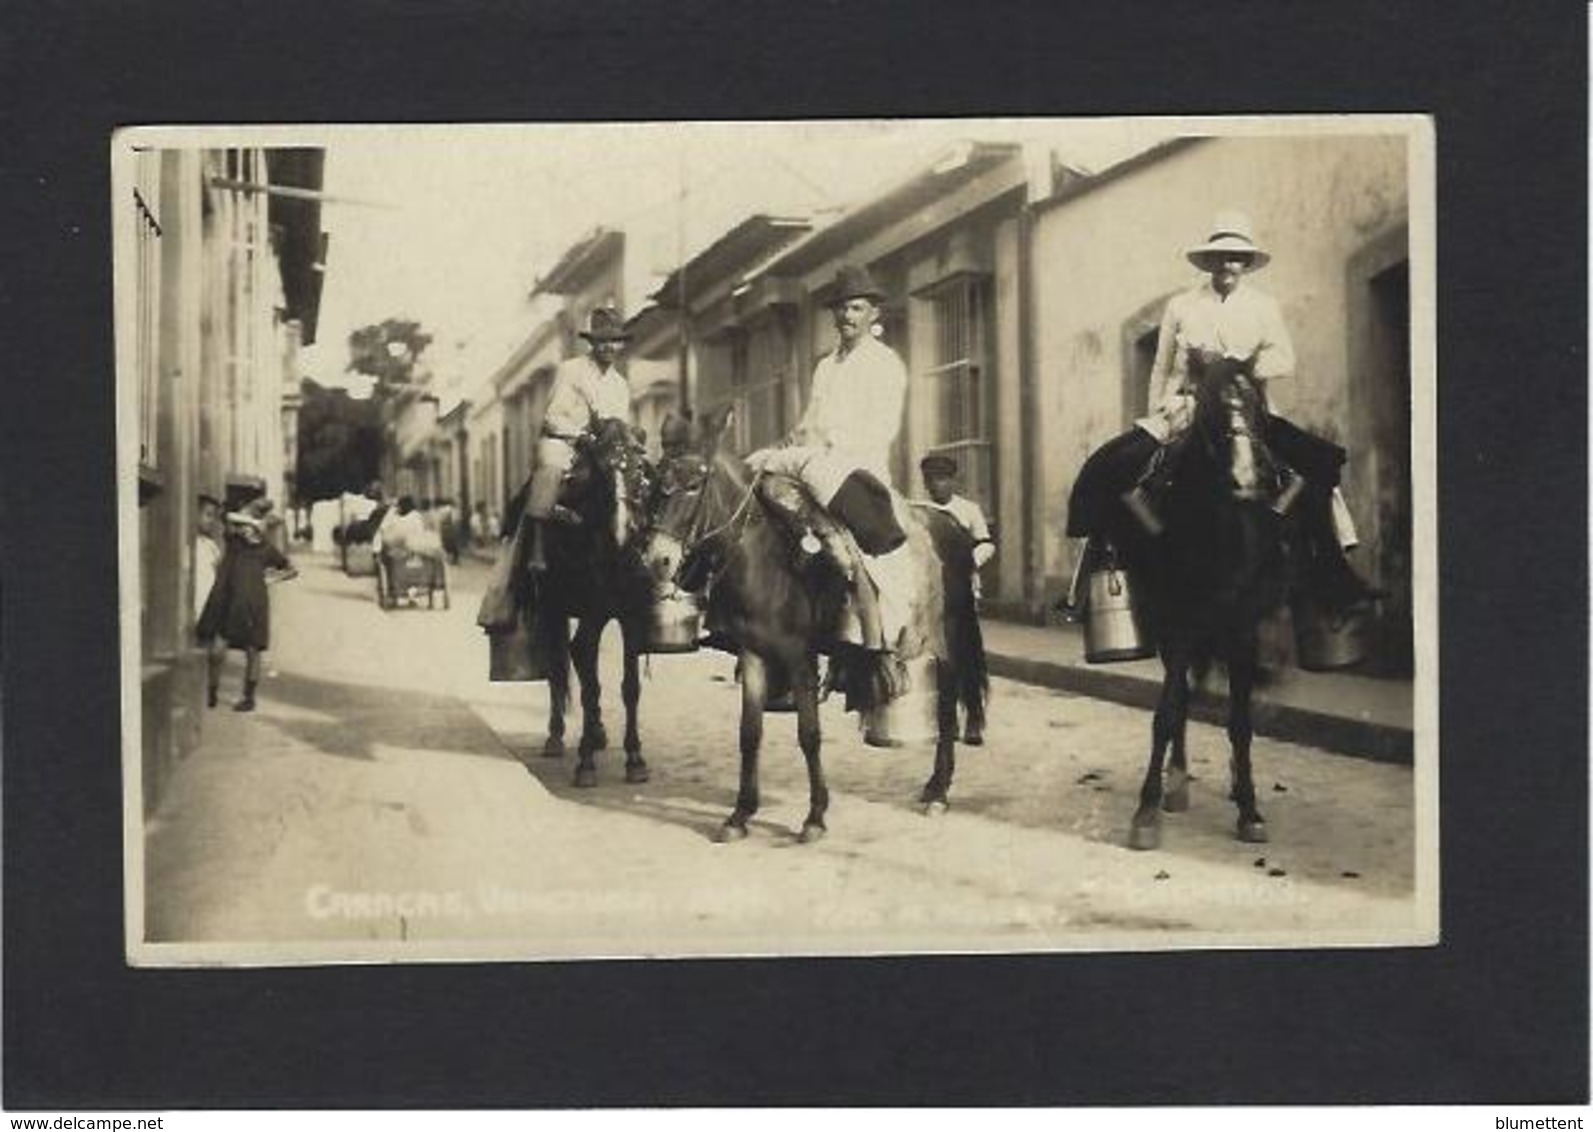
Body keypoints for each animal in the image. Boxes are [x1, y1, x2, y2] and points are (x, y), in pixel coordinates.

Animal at [509, 417, 659, 789]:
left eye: (639, 470)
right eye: (599, 472)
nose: (622, 531)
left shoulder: (631, 618)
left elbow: (630, 688)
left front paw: (635, 758)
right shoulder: (591, 615)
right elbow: (589, 686)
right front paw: (586, 762)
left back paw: (598, 732)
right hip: (551, 610)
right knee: (557, 667)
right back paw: (556, 736)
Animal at [643, 407, 987, 840]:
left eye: (693, 484)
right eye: (656, 483)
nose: (658, 560)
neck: (764, 558)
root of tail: (951, 525)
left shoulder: (799, 658)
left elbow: (809, 735)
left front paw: (815, 817)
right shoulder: (754, 653)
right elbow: (749, 733)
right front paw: (740, 815)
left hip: (947, 638)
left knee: (946, 710)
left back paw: (939, 792)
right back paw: (932, 788)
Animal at [1108, 361, 1306, 853]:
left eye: (1257, 407)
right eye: (1209, 411)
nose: (1248, 480)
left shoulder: (1244, 627)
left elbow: (1240, 722)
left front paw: (1250, 809)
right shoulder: (1178, 622)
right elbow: (1166, 712)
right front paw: (1146, 812)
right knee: (1180, 698)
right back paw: (1176, 784)